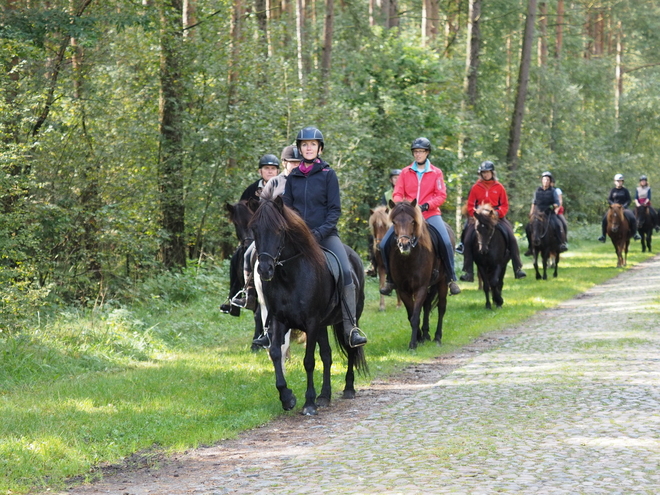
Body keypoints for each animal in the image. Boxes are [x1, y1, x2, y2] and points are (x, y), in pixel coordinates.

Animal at [250, 196, 368, 416]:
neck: (290, 276)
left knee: (350, 348)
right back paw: (325, 396)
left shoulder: (311, 323)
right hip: (323, 325)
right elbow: (276, 353)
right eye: (254, 229)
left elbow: (308, 361)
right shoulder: (279, 320)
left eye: (280, 229)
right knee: (327, 355)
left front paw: (309, 403)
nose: (264, 269)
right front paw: (287, 398)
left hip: (347, 319)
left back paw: (348, 388)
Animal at [384, 200, 452, 350]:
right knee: (426, 306)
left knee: (441, 307)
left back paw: (437, 337)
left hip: (442, 281)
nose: (404, 245)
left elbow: (415, 316)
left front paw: (413, 343)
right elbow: (412, 315)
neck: (408, 259)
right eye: (394, 222)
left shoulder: (420, 287)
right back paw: (426, 334)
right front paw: (419, 338)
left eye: (412, 221)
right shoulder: (403, 290)